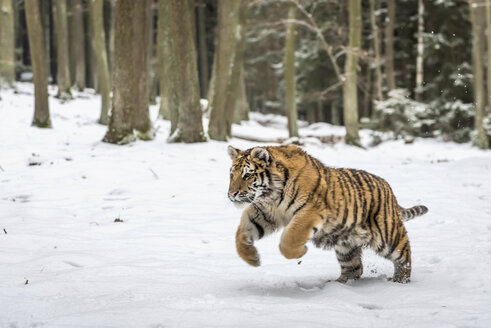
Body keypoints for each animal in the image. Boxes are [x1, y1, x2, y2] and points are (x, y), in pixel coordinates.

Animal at [229, 145, 428, 284]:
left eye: (247, 176)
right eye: (232, 175)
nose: (232, 194)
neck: (272, 195)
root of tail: (388, 188)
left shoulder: (310, 210)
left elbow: (290, 239)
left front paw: (301, 251)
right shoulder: (264, 212)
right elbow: (242, 231)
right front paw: (252, 258)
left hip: (388, 235)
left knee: (405, 257)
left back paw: (399, 281)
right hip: (346, 245)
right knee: (354, 269)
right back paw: (336, 285)